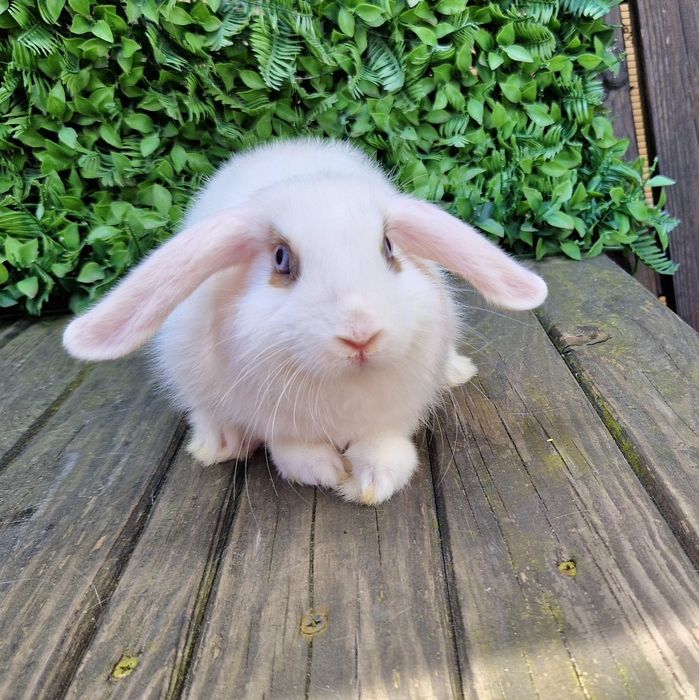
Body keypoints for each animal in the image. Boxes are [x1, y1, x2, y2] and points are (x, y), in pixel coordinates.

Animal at [63, 138, 547, 505]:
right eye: (281, 259)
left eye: (389, 247)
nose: (361, 336)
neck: (344, 387)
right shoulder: (278, 420)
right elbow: (293, 450)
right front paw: (325, 472)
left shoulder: (394, 413)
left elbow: (384, 446)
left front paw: (371, 481)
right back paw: (219, 443)